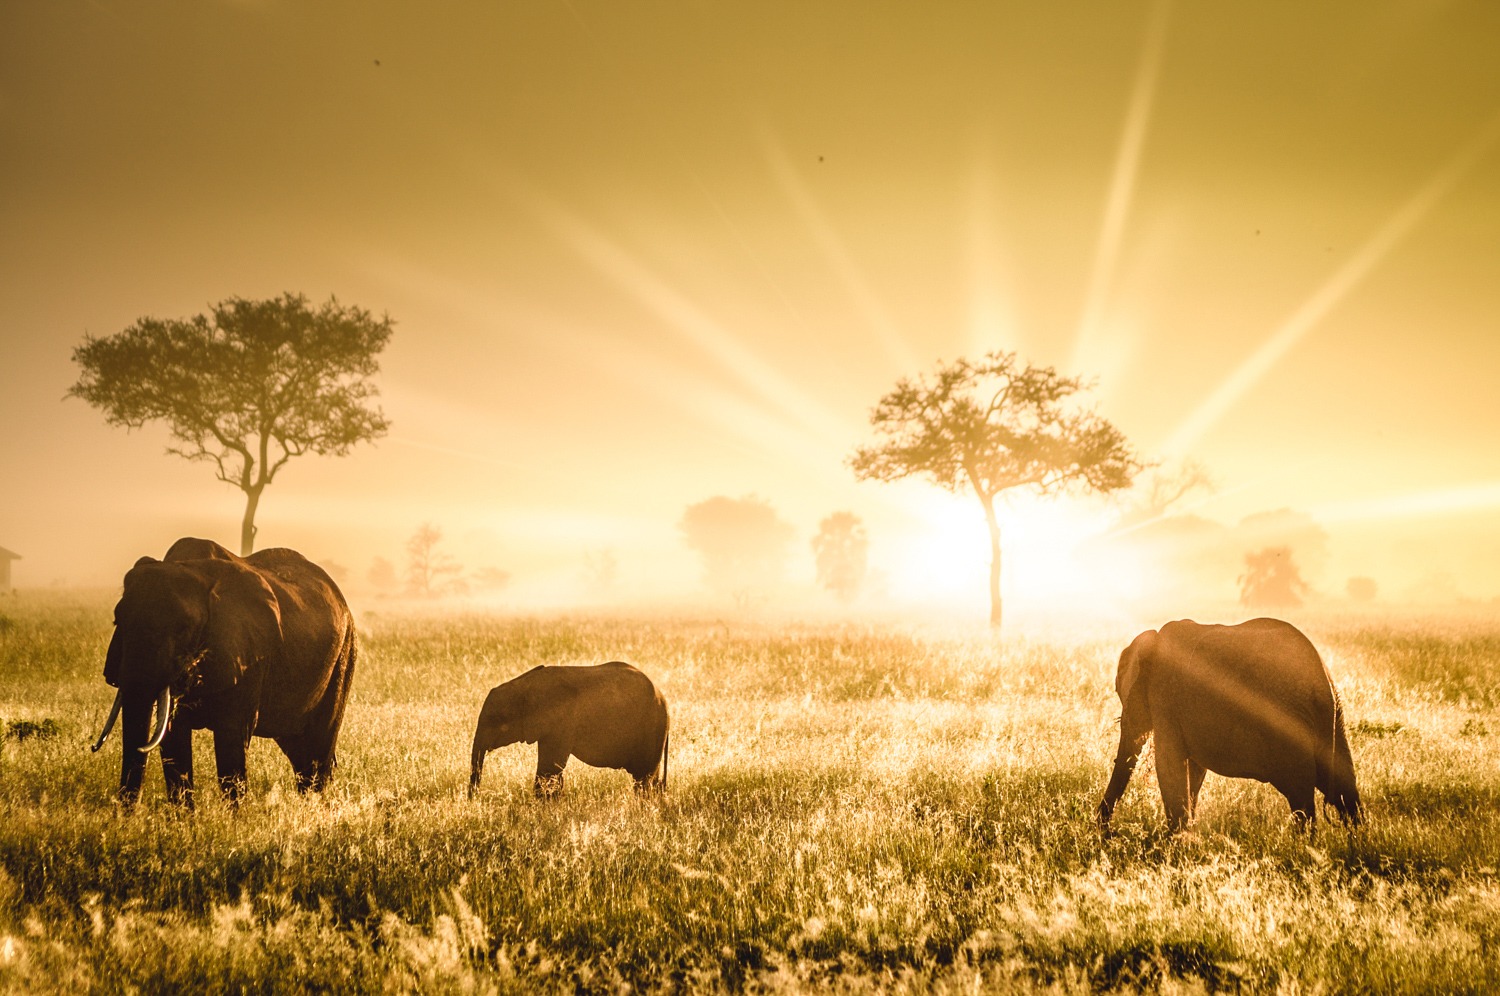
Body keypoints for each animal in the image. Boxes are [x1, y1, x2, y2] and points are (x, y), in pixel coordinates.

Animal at [92, 537, 358, 810]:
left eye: (184, 629)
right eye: (117, 622)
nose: (124, 813)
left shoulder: (249, 655)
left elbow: (231, 736)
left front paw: (233, 817)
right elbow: (173, 736)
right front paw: (183, 818)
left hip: (345, 653)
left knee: (318, 749)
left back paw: (313, 808)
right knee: (299, 751)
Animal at [471, 660, 672, 804]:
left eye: (494, 720)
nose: (474, 799)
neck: (523, 685)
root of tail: (663, 698)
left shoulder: (560, 723)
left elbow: (549, 769)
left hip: (652, 729)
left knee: (643, 779)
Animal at [1098, 618, 1368, 828]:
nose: (1104, 831)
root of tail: (1320, 680)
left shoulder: (1165, 699)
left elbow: (1169, 767)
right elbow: (1193, 771)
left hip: (1287, 723)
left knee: (1302, 799)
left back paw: (1304, 848)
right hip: (1334, 717)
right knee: (1344, 788)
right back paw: (1357, 841)